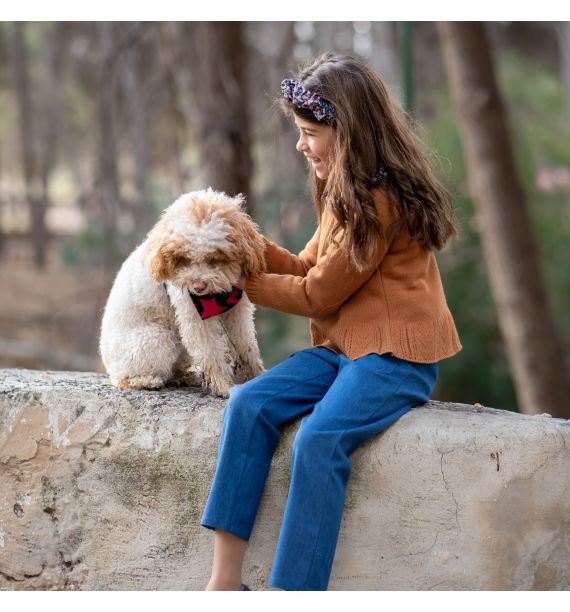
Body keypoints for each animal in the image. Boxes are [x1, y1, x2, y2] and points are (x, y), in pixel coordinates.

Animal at [98, 190, 266, 396]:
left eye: (214, 258)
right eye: (184, 258)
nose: (198, 287)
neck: (217, 296)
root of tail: (110, 366)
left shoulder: (237, 311)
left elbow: (247, 346)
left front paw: (257, 376)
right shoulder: (193, 315)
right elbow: (210, 351)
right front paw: (224, 386)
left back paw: (184, 376)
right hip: (157, 338)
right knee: (126, 379)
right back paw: (148, 381)